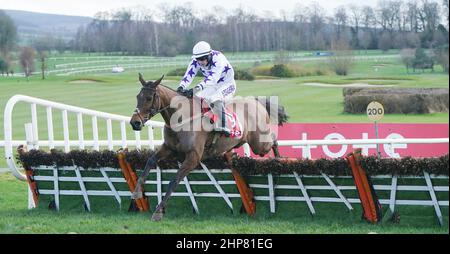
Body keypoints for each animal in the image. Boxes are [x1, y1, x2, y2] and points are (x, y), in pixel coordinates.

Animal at [129, 73, 288, 220]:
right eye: (137, 97)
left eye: (149, 98)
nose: (135, 122)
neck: (181, 118)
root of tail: (256, 101)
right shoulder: (169, 148)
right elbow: (150, 161)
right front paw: (136, 192)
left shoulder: (193, 157)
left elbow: (174, 181)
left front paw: (158, 211)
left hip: (259, 144)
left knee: (273, 139)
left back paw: (279, 159)